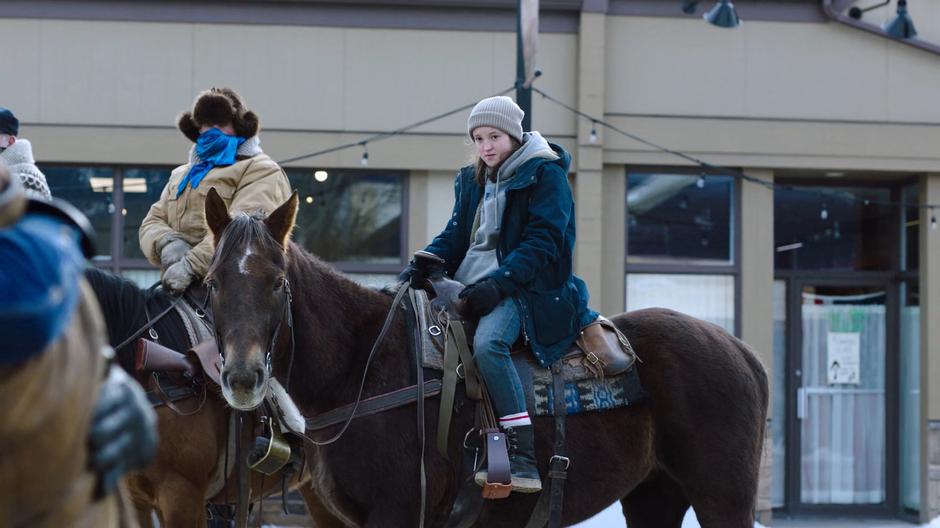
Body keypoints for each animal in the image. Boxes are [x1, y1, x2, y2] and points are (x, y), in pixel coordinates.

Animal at [206, 190, 772, 528]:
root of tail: (742, 351)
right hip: (655, 494)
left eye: (277, 282)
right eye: (213, 283)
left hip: (722, 498)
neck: (359, 367)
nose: (242, 376)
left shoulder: (395, 512)